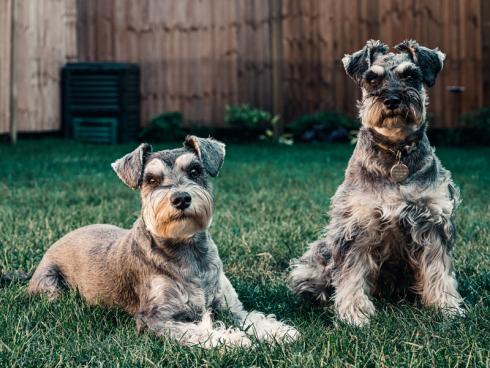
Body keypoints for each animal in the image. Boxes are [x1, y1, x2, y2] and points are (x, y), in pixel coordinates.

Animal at [31, 136, 298, 348]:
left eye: (195, 171)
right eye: (151, 180)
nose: (181, 198)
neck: (188, 251)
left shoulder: (229, 306)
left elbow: (252, 317)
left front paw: (279, 331)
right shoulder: (155, 319)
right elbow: (196, 331)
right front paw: (231, 339)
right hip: (51, 288)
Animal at [290, 40, 466, 326]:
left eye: (411, 76)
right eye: (372, 78)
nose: (392, 100)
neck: (395, 151)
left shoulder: (432, 222)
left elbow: (438, 269)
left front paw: (446, 307)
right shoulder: (357, 226)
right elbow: (351, 273)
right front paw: (354, 313)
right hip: (316, 258)